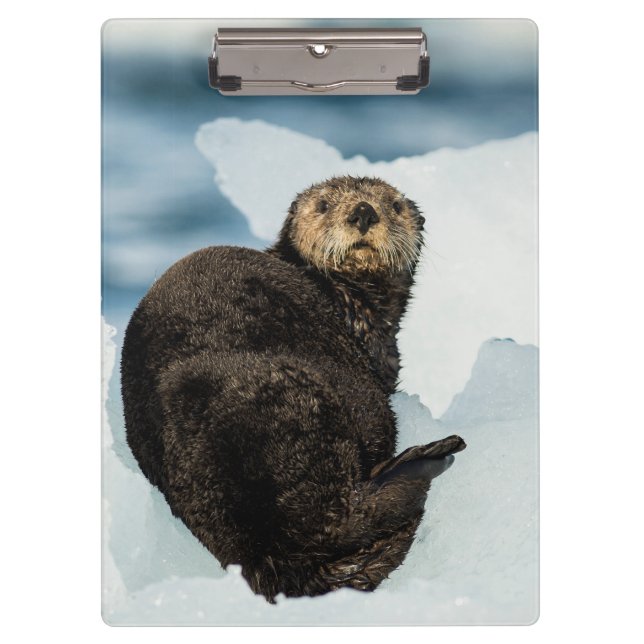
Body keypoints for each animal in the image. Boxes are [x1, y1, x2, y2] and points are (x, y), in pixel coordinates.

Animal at [121, 176, 465, 601]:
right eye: (323, 205)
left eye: (394, 206)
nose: (363, 211)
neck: (350, 302)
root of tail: (261, 552)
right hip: (313, 408)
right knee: (347, 514)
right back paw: (429, 457)